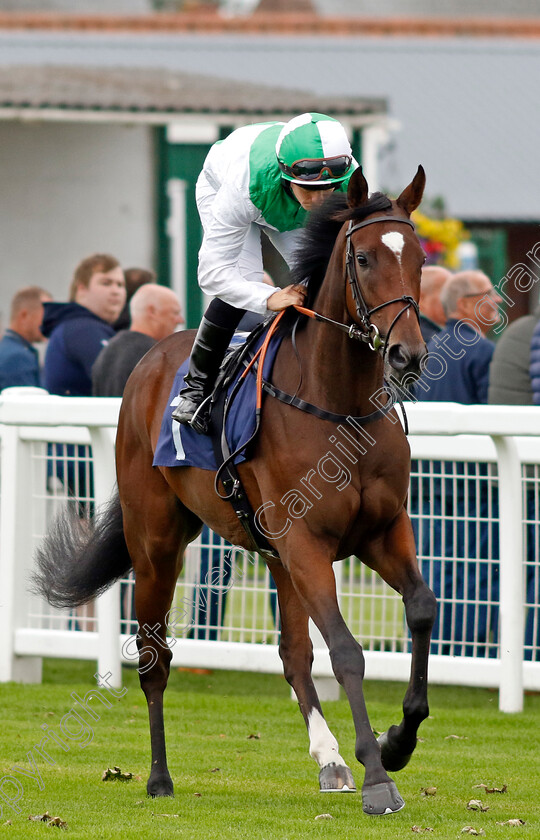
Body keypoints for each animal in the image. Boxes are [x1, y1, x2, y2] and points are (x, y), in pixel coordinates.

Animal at [33, 164, 436, 812]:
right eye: (365, 258)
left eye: (420, 257)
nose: (408, 354)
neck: (338, 404)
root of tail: (149, 359)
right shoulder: (306, 543)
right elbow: (346, 649)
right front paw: (379, 776)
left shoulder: (380, 531)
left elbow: (421, 608)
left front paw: (398, 741)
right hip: (158, 545)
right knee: (155, 657)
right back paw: (159, 777)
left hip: (273, 554)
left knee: (294, 656)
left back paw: (330, 761)